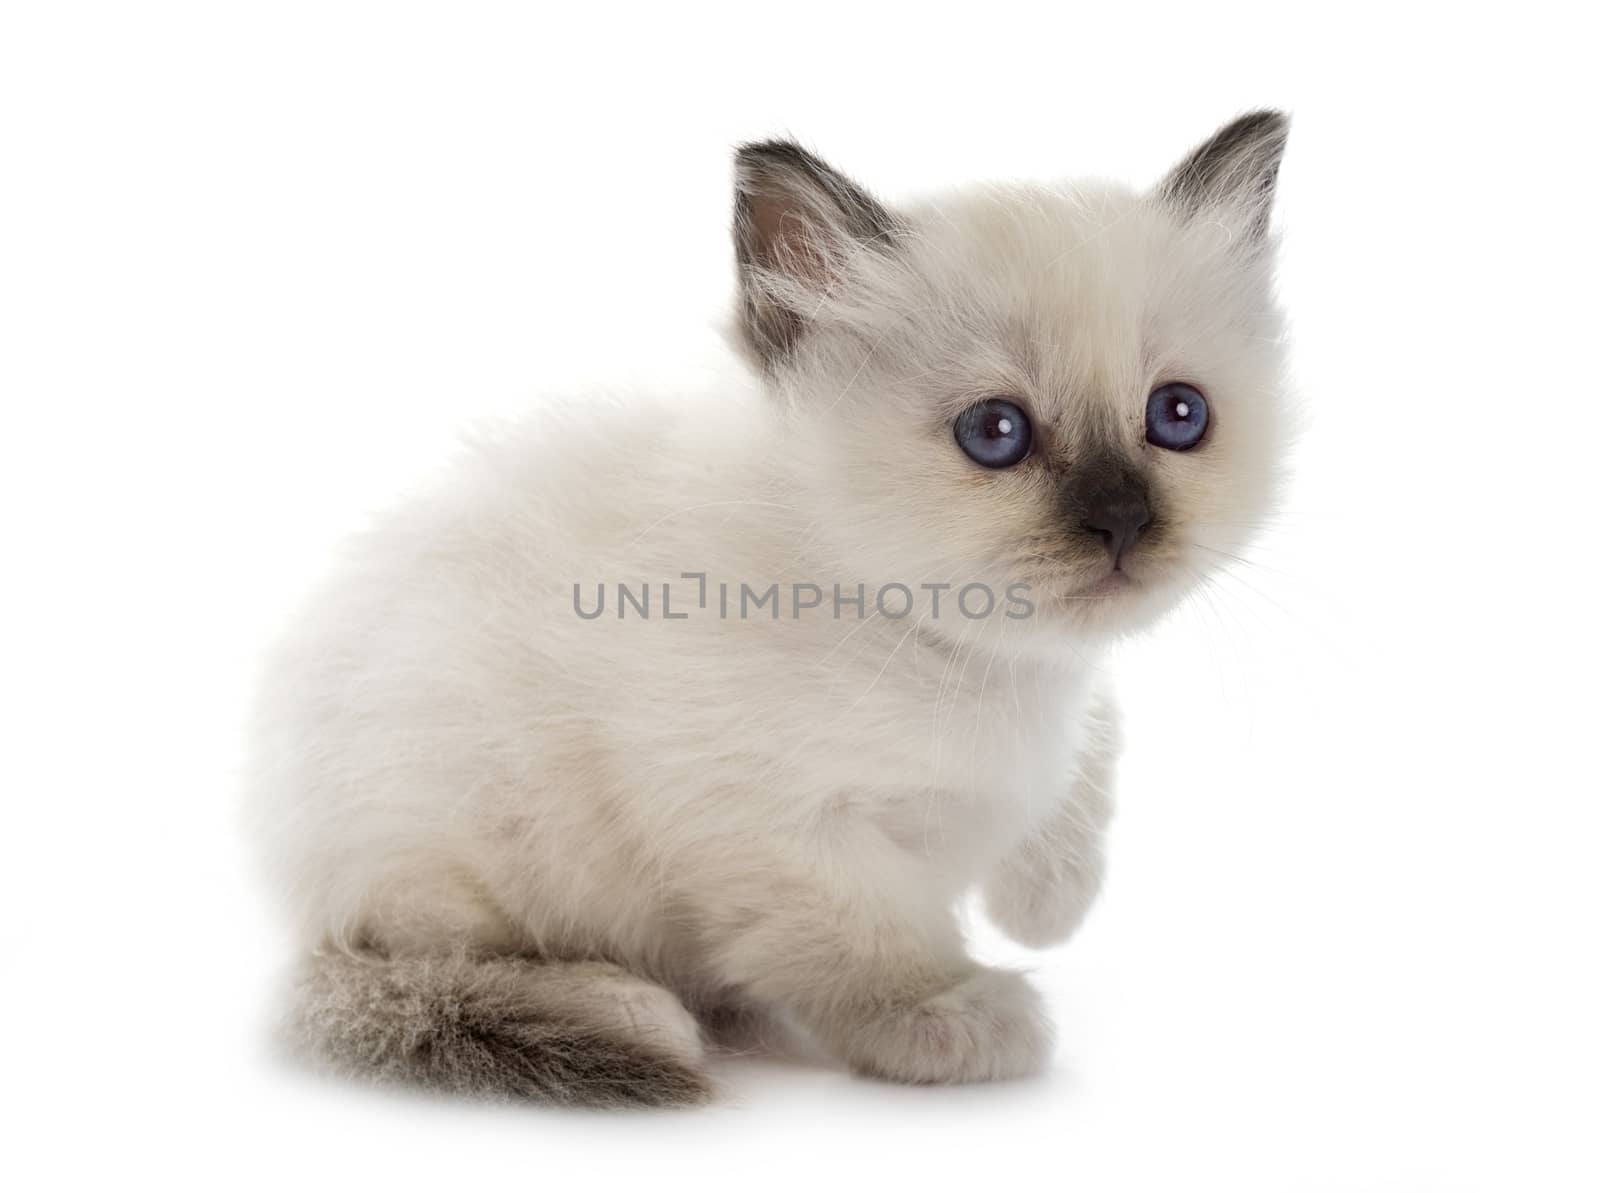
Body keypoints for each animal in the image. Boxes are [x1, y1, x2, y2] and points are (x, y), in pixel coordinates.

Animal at [252, 113, 1299, 1106]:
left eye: (1178, 416)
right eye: (995, 432)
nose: (1123, 520)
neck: (970, 664)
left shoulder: (1065, 688)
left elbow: (1095, 746)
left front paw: (1050, 898)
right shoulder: (761, 823)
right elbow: (862, 935)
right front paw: (948, 1014)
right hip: (457, 848)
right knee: (410, 966)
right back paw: (634, 1008)